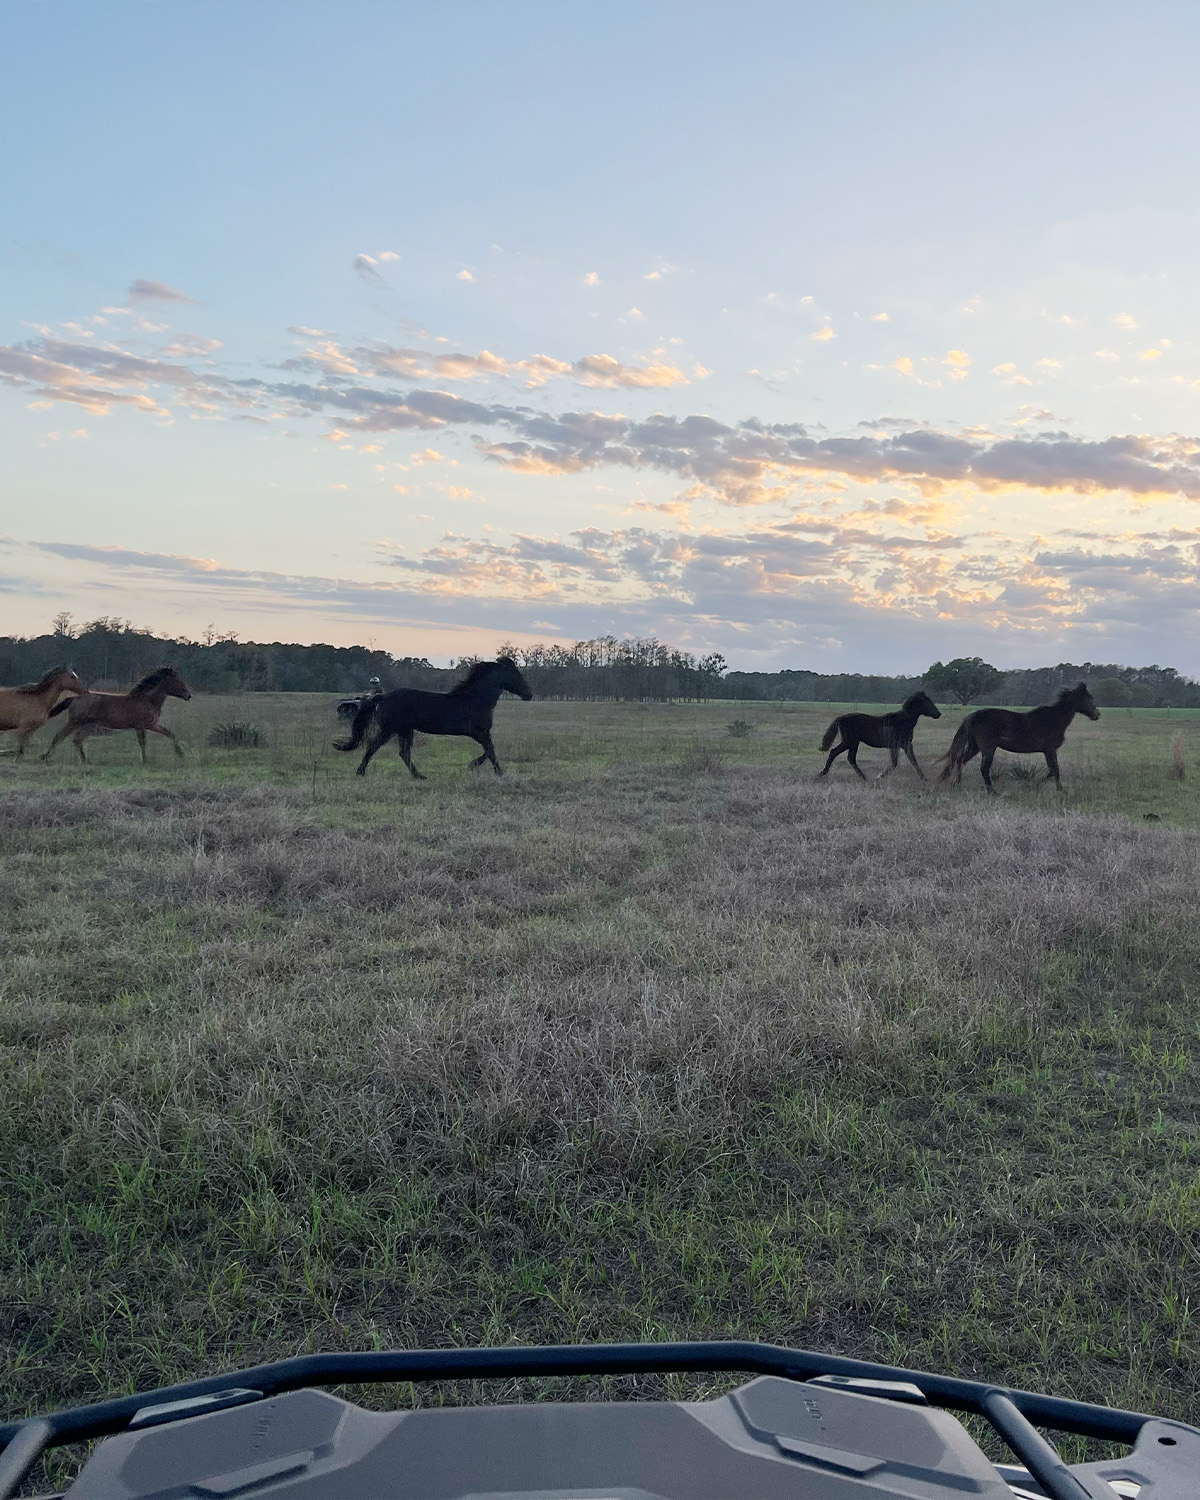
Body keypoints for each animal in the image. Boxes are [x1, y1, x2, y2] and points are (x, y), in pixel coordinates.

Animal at [42, 665, 193, 764]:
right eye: (178, 680)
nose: (188, 696)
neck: (147, 700)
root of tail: (74, 698)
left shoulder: (150, 725)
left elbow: (169, 733)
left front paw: (180, 753)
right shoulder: (144, 725)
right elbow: (144, 742)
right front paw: (146, 760)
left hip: (87, 726)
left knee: (77, 740)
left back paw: (85, 760)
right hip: (75, 723)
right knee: (59, 736)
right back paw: (45, 757)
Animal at [335, 657, 533, 779]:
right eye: (515, 675)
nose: (529, 695)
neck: (475, 699)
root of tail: (381, 697)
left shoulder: (482, 733)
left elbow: (489, 750)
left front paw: (473, 765)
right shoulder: (478, 732)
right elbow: (491, 750)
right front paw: (495, 771)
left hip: (404, 730)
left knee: (403, 753)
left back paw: (419, 776)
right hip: (390, 729)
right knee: (374, 746)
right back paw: (361, 772)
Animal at [939, 682, 1099, 793]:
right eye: (1089, 699)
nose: (1097, 715)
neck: (1054, 719)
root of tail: (975, 715)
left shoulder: (1048, 751)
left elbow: (1052, 770)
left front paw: (1034, 785)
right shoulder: (1050, 749)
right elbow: (1055, 770)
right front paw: (1059, 790)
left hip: (975, 746)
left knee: (960, 760)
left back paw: (957, 785)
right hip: (988, 748)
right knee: (983, 768)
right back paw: (993, 792)